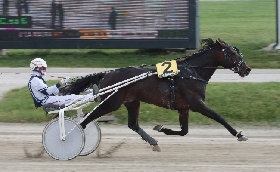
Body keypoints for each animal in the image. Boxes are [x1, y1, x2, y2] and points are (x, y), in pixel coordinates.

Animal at [63, 38, 252, 151]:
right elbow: (219, 117)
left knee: (132, 124)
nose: (247, 69)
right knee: (86, 119)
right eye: (233, 53)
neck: (192, 72)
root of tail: (109, 73)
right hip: (111, 102)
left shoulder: (184, 108)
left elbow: (184, 131)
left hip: (132, 102)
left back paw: (153, 142)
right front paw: (239, 135)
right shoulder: (196, 103)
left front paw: (161, 128)